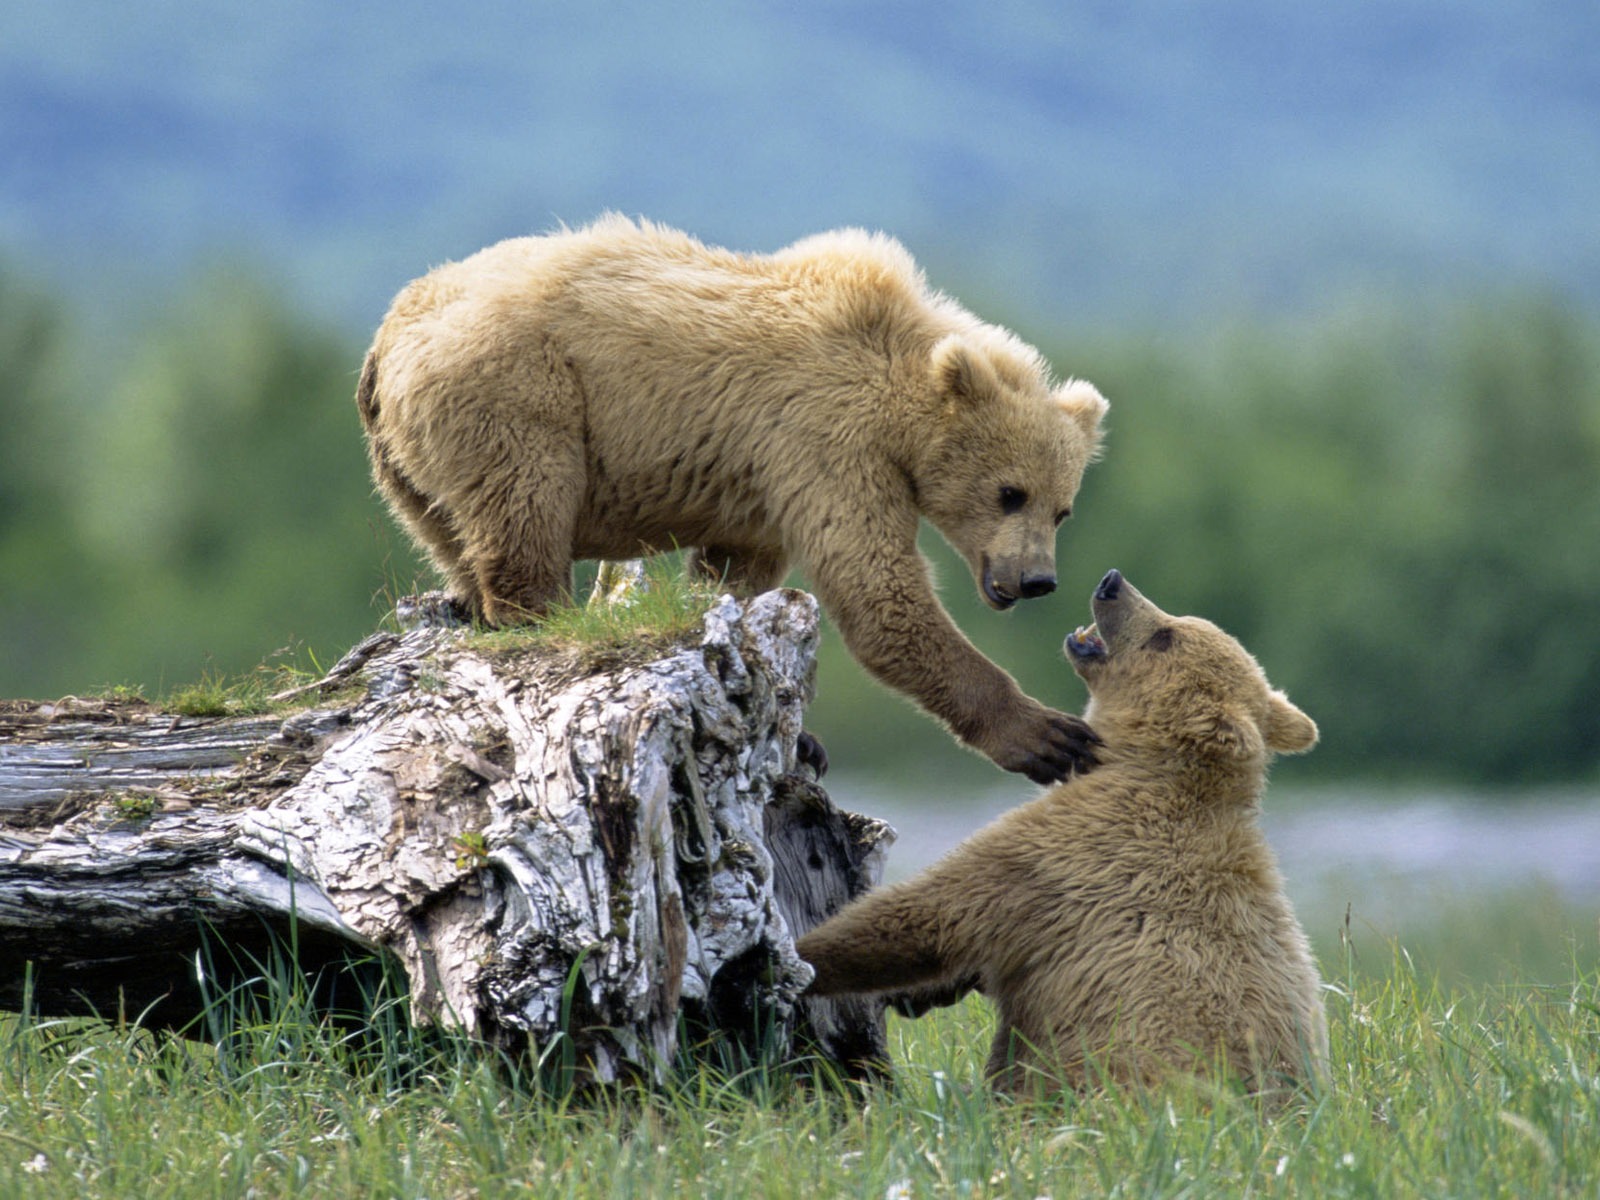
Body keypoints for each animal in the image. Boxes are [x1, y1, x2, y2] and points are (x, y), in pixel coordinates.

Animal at [360, 217, 1113, 784]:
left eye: (1062, 508)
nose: (1037, 579)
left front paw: (799, 733)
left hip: (408, 468)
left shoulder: (763, 483)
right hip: (515, 393)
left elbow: (736, 574)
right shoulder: (825, 441)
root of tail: (386, 336)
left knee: (454, 536)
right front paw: (1050, 735)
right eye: (1010, 493)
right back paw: (540, 615)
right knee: (526, 509)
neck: (899, 387)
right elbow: (878, 592)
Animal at [796, 572, 1324, 1100]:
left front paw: (800, 957)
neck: (1144, 765)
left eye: (1164, 636)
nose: (1112, 583)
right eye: (1177, 623)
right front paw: (918, 992)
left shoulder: (1066, 857)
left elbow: (927, 916)